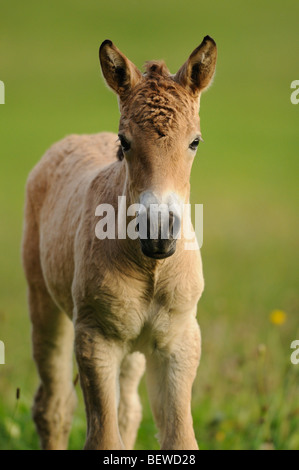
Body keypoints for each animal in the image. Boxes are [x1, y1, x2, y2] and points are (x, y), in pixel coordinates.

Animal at [21, 35, 218, 448]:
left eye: (194, 142)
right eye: (124, 142)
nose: (158, 232)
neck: (152, 267)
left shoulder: (179, 340)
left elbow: (179, 438)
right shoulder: (95, 340)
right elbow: (103, 438)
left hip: (134, 347)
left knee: (128, 409)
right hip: (45, 303)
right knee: (53, 406)